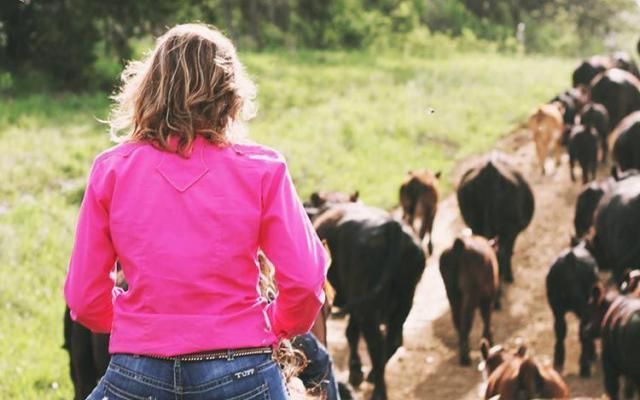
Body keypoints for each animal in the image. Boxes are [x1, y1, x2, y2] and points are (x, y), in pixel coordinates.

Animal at [314, 203, 428, 400]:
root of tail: (392, 226)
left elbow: (351, 334)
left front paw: (355, 371)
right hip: (404, 300)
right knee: (392, 340)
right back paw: (373, 375)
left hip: (368, 308)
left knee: (376, 345)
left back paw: (378, 391)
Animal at [440, 234, 500, 366]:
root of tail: (459, 244)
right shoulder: (488, 298)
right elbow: (487, 317)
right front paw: (489, 339)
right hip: (470, 295)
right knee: (466, 321)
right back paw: (465, 357)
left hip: (452, 294)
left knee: (457, 319)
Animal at [544, 242, 600, 376]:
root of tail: (570, 259)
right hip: (582, 307)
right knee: (582, 331)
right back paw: (585, 367)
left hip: (557, 308)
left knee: (560, 330)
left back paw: (558, 363)